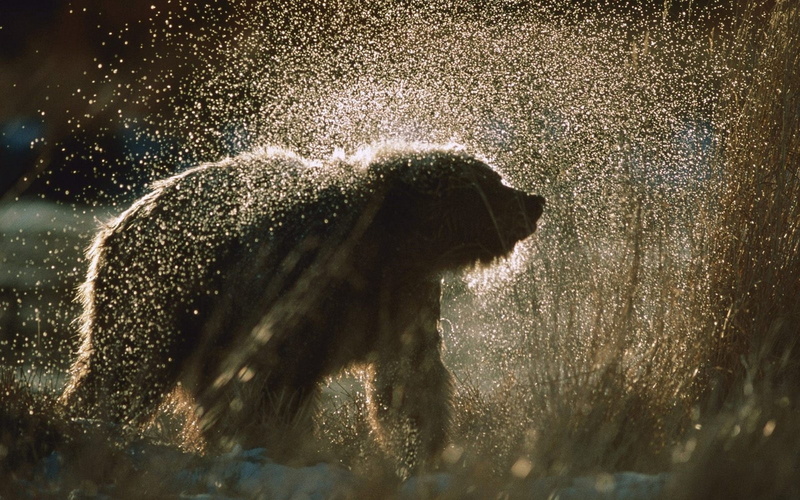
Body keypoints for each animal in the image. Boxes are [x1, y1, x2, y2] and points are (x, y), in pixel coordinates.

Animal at [59, 143, 544, 472]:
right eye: (492, 182)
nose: (534, 201)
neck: (389, 242)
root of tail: (115, 223)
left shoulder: (404, 293)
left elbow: (409, 376)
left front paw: (423, 450)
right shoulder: (297, 281)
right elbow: (272, 379)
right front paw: (271, 442)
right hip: (160, 292)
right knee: (125, 365)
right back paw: (88, 421)